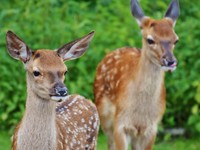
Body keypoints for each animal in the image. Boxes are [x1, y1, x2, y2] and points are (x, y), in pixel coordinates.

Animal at [94, 0, 180, 150]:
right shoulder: (120, 123)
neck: (140, 113)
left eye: (176, 40)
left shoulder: (152, 127)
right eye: (150, 40)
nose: (170, 61)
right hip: (104, 116)